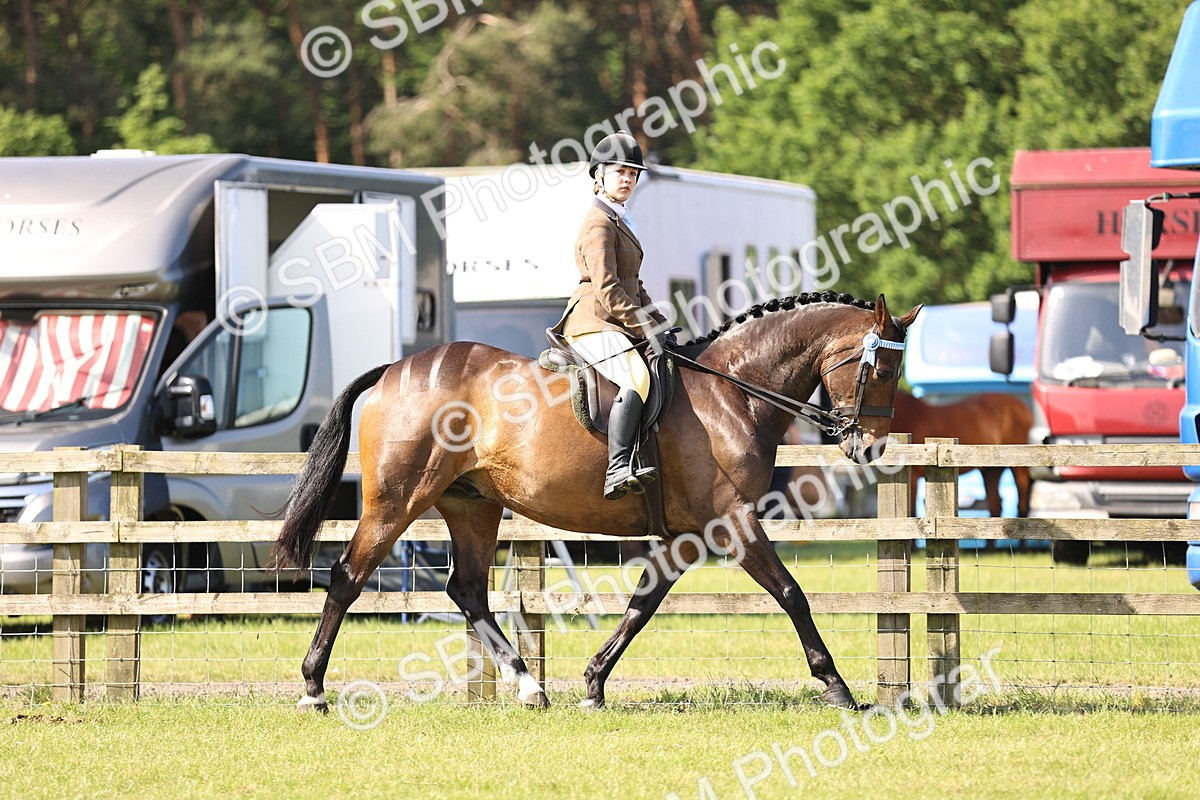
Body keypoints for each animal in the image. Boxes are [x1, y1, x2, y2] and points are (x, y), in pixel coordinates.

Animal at [271, 292, 921, 712]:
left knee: (468, 590)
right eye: (882, 369)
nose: (870, 445)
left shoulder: (688, 535)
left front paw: (593, 683)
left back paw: (531, 688)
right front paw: (838, 687)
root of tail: (393, 370)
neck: (733, 392)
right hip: (397, 500)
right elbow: (792, 594)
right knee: (348, 578)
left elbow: (643, 604)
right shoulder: (732, 522)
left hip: (472, 504)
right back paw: (313, 689)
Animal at [890, 391, 1032, 518]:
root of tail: (1021, 407)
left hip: (1019, 469)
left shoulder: (913, 477)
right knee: (995, 506)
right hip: (991, 470)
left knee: (1022, 506)